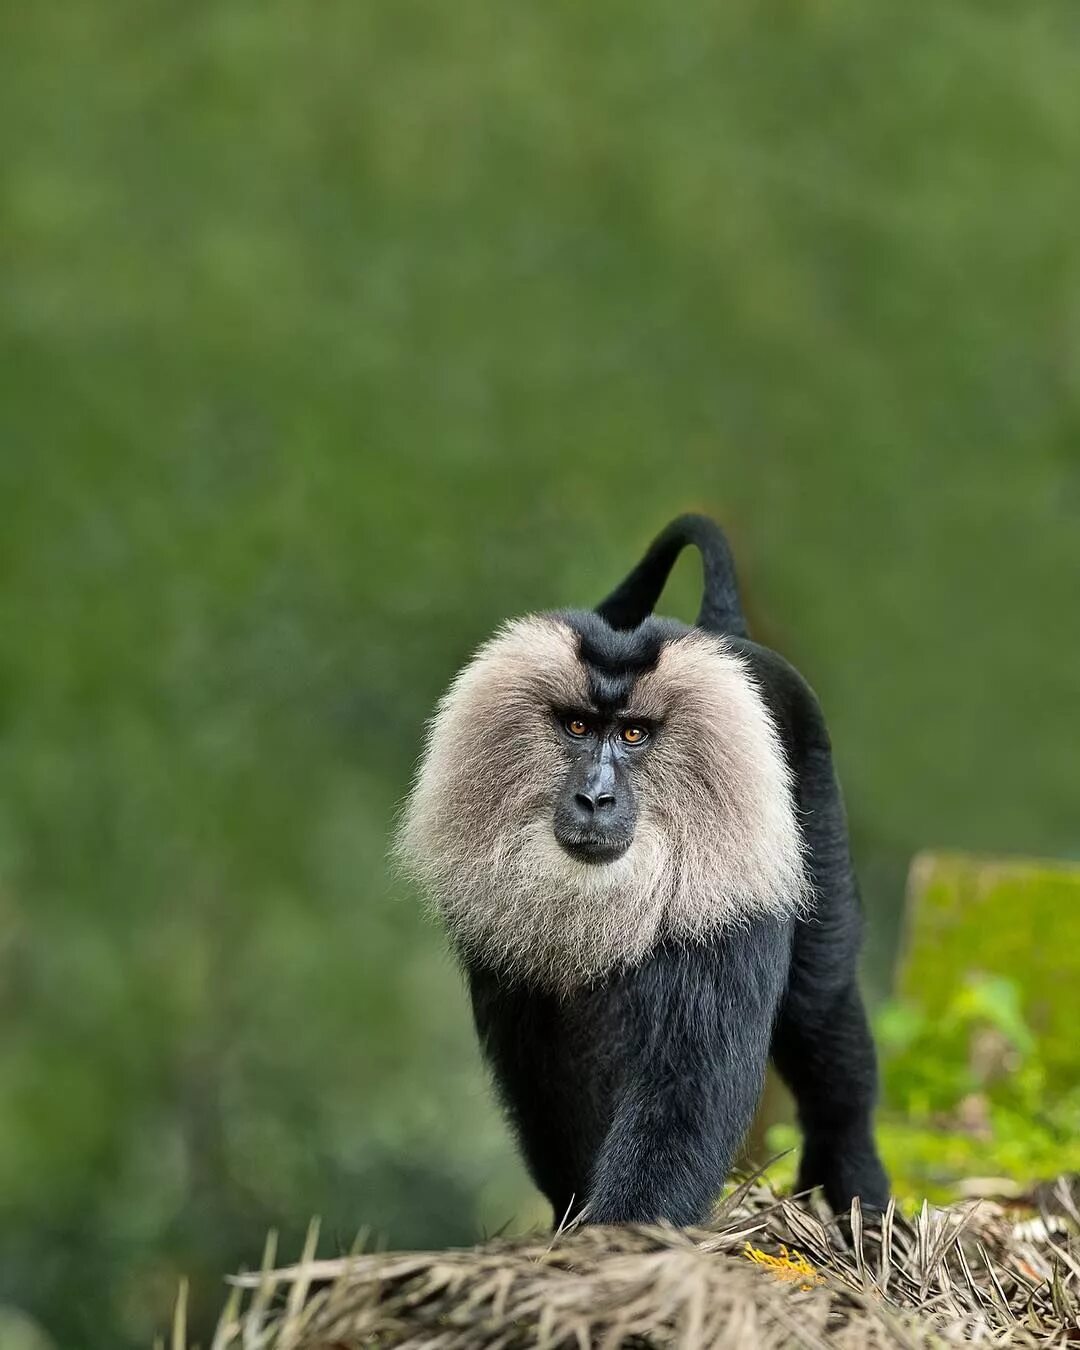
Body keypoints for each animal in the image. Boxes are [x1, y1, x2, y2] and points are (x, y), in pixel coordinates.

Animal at [394, 513, 885, 1225]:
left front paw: (625, 1230)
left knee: (822, 1012)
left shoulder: (725, 906)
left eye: (632, 735)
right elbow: (543, 1086)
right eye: (576, 726)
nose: (595, 798)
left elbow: (689, 1082)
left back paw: (859, 1194)